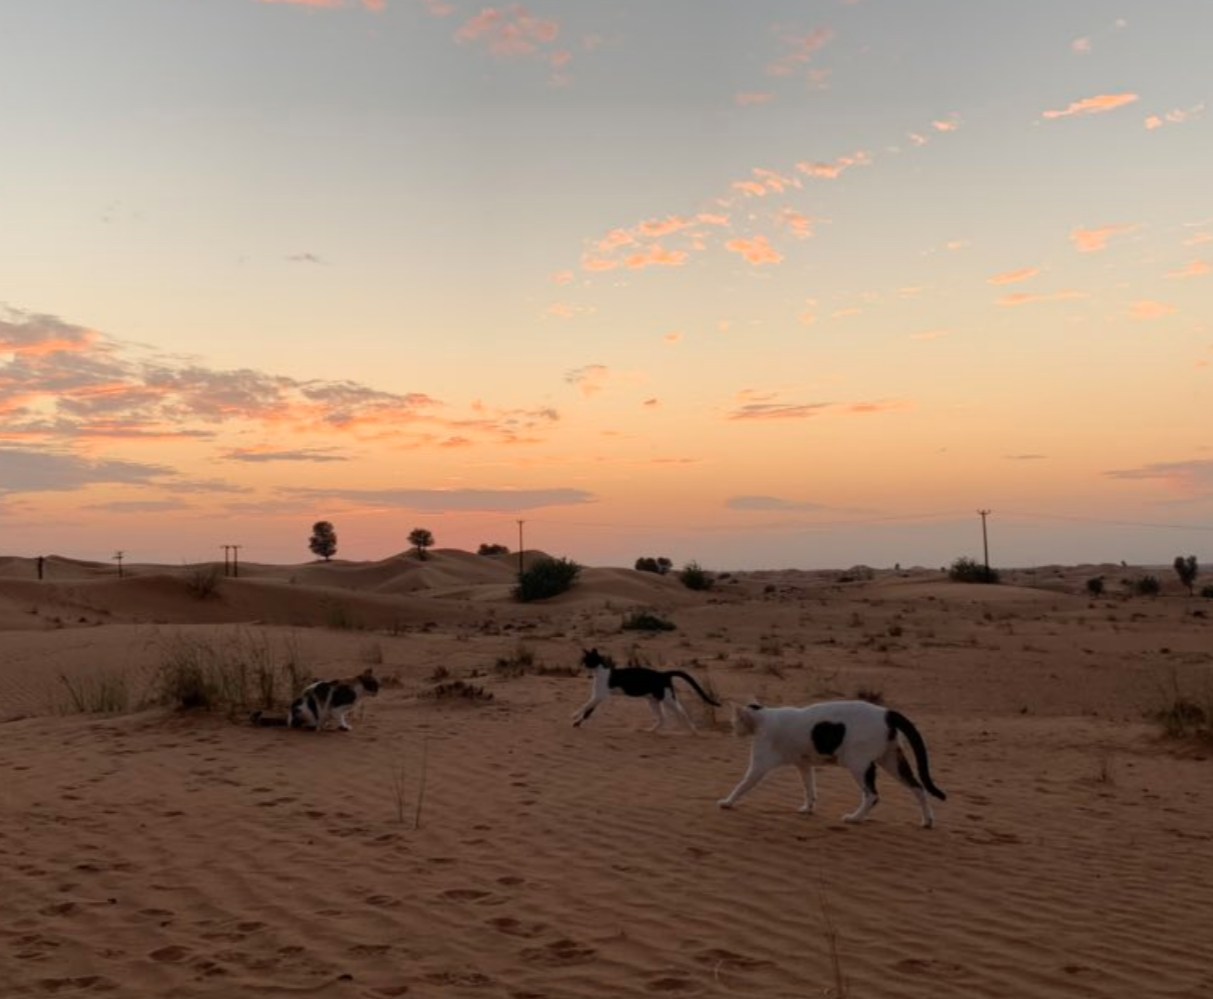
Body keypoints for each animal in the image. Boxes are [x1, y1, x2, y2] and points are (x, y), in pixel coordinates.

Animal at [248, 669, 376, 727]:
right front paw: (344, 726)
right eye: (375, 685)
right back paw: (314, 725)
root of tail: (289, 717)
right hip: (305, 709)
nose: (377, 692)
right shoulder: (336, 708)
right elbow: (341, 717)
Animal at [718, 693, 946, 829]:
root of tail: (887, 712)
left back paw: (854, 818)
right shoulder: (804, 764)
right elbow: (809, 788)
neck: (763, 718)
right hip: (891, 760)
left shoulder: (758, 766)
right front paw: (808, 808)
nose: (733, 729)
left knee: (872, 795)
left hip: (859, 764)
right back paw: (927, 821)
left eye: (735, 720)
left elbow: (741, 785)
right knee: (918, 787)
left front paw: (727, 802)